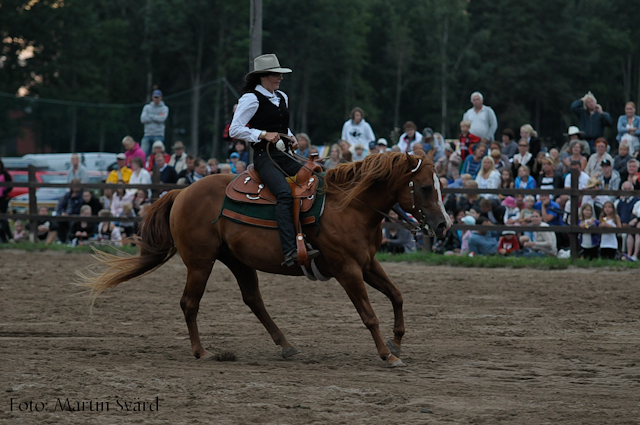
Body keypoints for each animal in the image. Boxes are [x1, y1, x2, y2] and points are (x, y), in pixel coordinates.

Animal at [80, 151, 450, 366]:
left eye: (441, 185)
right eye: (425, 187)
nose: (444, 225)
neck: (348, 207)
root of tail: (182, 191)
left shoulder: (368, 263)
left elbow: (397, 296)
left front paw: (397, 343)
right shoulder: (347, 269)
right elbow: (369, 314)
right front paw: (387, 354)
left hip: (238, 261)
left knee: (253, 300)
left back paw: (286, 345)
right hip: (200, 262)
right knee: (189, 303)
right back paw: (202, 351)